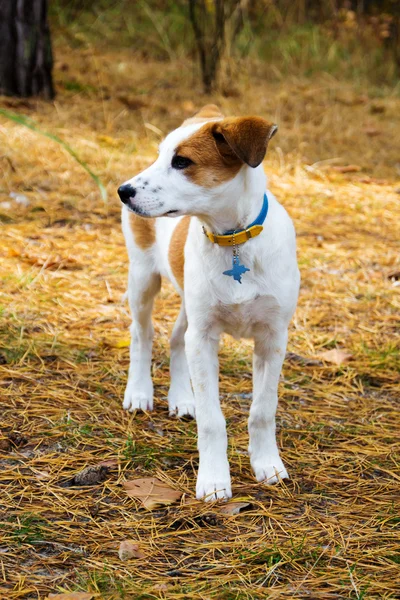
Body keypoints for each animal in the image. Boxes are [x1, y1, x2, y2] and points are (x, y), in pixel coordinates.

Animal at [117, 104, 298, 502]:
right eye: (159, 155)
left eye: (182, 161)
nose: (123, 190)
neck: (234, 239)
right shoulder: (204, 338)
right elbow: (213, 420)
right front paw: (214, 479)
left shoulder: (272, 338)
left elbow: (263, 409)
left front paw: (267, 464)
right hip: (143, 279)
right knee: (142, 334)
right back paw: (139, 392)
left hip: (189, 303)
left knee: (174, 338)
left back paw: (182, 398)